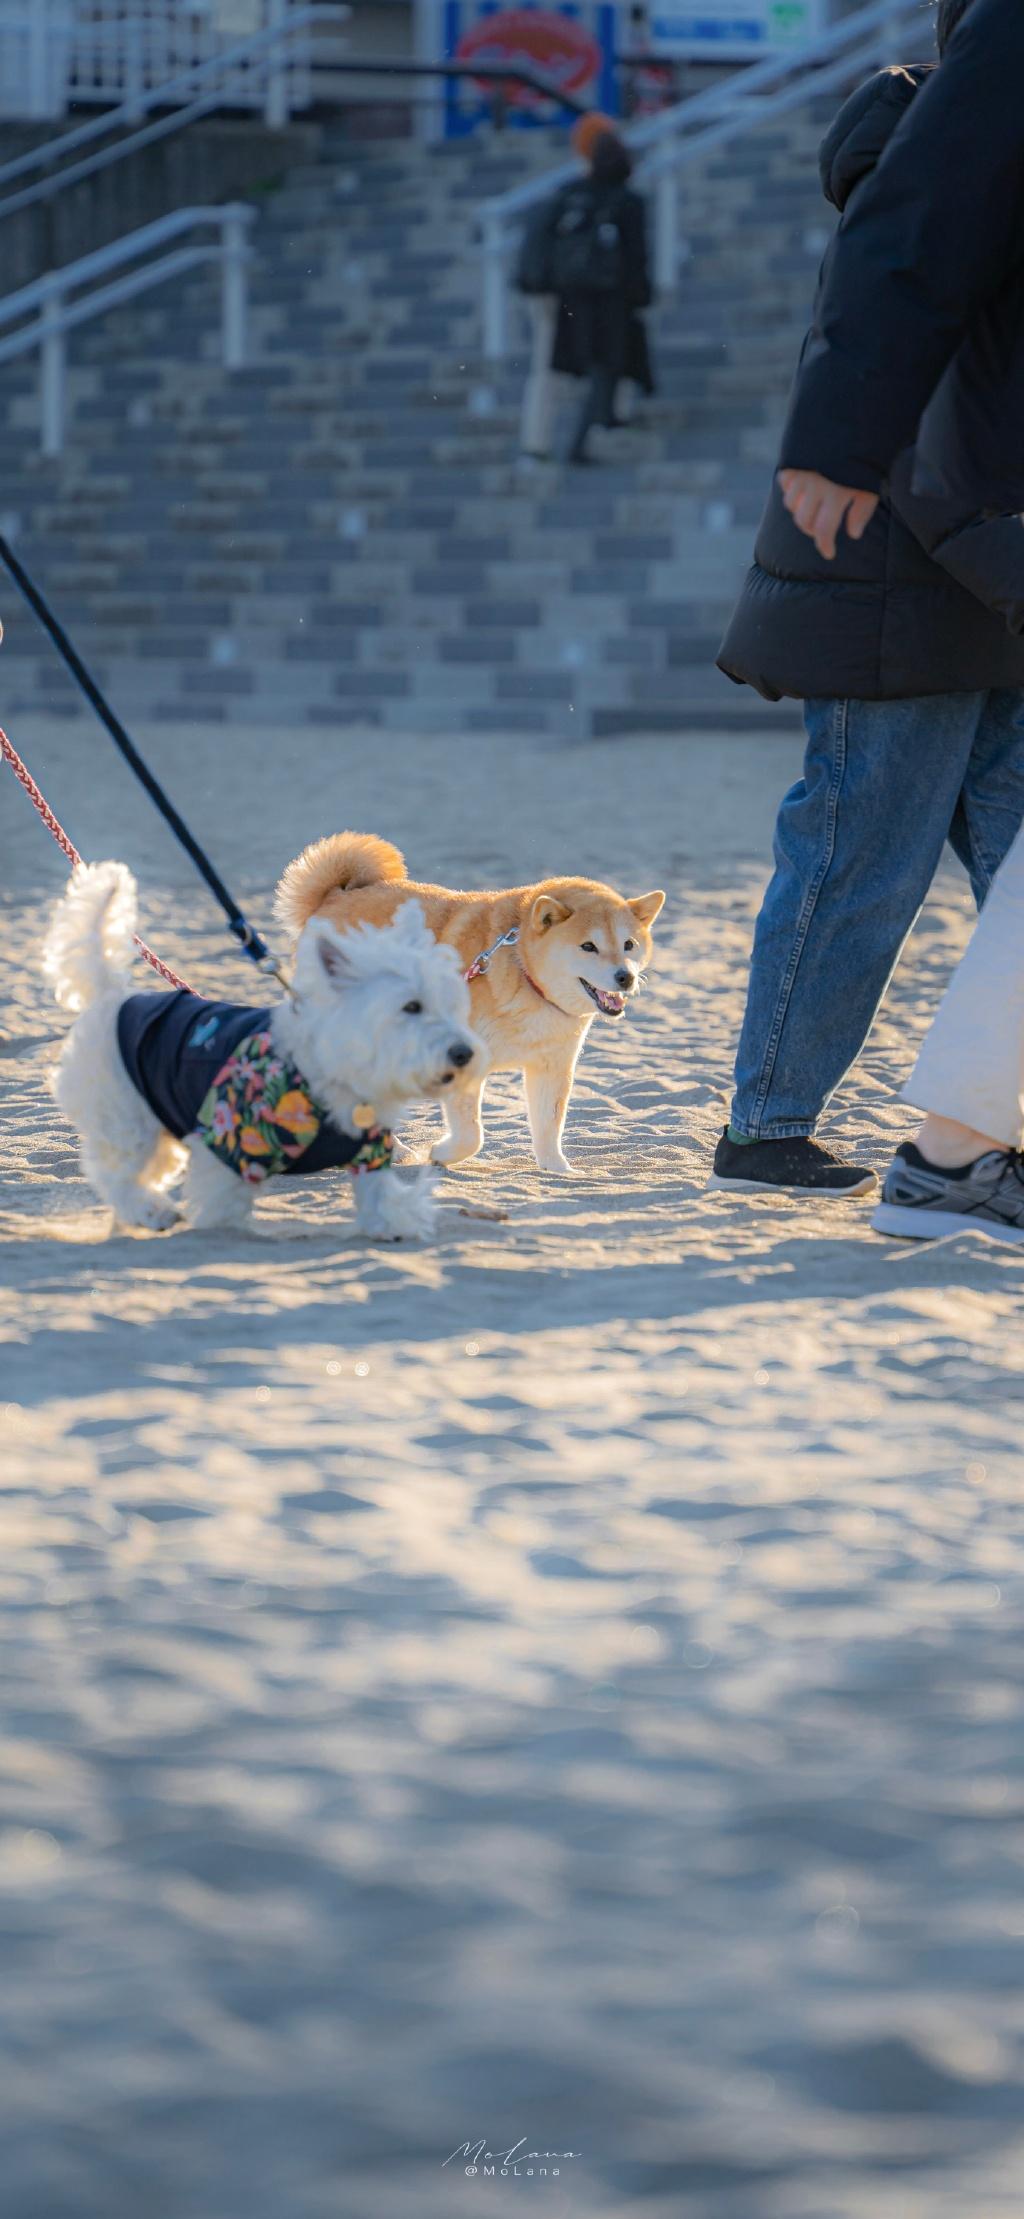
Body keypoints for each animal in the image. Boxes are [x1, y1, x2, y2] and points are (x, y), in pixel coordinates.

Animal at [43, 856, 482, 1242]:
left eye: (453, 1005)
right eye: (412, 1006)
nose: (464, 1054)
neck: (327, 1065)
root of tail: (114, 997)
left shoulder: (369, 1150)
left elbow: (379, 1193)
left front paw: (390, 1225)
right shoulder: (226, 1139)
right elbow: (222, 1204)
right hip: (126, 1115)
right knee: (116, 1171)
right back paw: (151, 1212)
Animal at [277, 834, 661, 1180]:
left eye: (628, 944)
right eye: (588, 946)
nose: (625, 977)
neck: (523, 971)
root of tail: (333, 897)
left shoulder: (552, 1066)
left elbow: (549, 1127)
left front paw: (559, 1171)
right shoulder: (462, 1060)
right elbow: (471, 1136)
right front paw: (439, 1153)